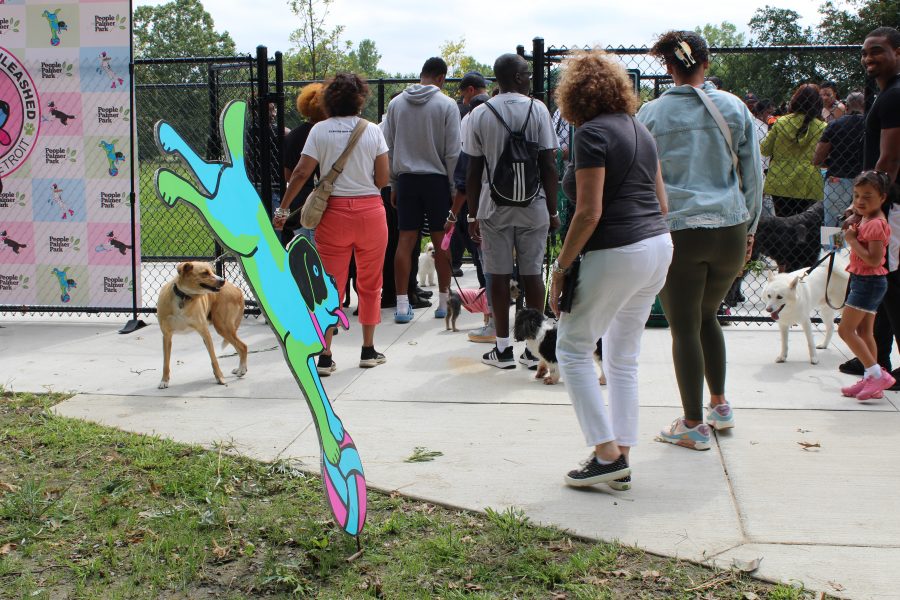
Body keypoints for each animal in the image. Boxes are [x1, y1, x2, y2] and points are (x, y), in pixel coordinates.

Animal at [157, 262, 248, 390]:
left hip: (223, 327)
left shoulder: (205, 332)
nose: (222, 281)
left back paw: (242, 369)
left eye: (213, 271)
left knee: (243, 346)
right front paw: (164, 380)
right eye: (205, 273)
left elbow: (214, 359)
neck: (183, 297)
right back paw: (240, 369)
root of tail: (237, 289)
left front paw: (220, 378)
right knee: (240, 347)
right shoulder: (166, 336)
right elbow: (166, 362)